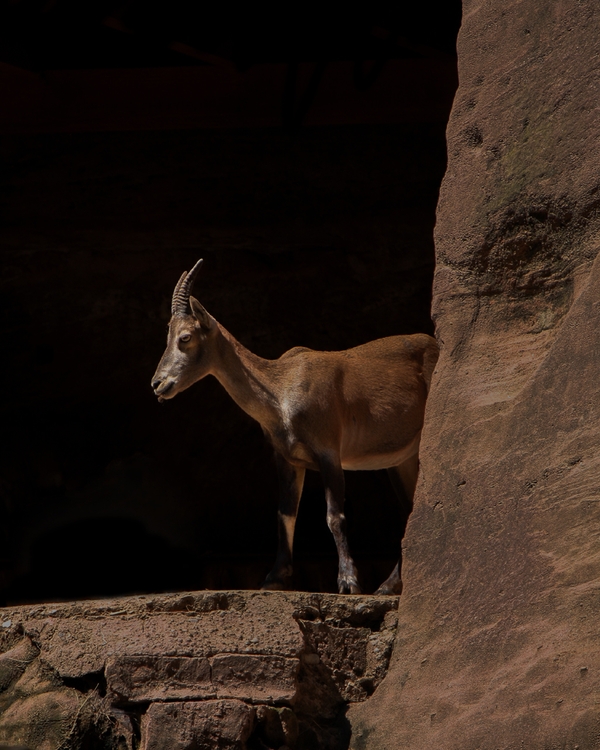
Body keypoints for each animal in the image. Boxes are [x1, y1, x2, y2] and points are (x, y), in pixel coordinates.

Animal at [151, 259, 438, 595]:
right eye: (168, 336)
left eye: (185, 337)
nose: (158, 384)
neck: (281, 389)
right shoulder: (287, 458)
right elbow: (285, 515)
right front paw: (274, 578)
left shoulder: (329, 452)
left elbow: (334, 515)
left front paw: (348, 581)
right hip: (400, 460)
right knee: (408, 510)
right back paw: (388, 585)